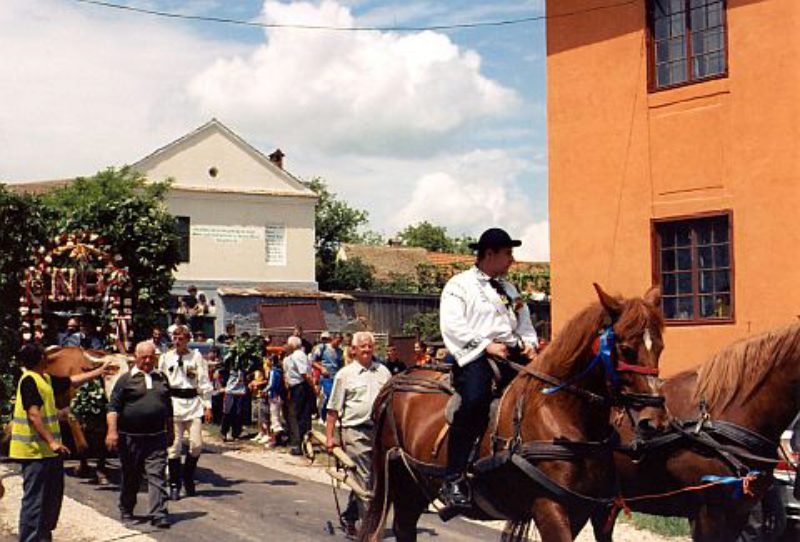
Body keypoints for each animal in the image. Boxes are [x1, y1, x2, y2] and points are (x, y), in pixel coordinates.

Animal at [360, 284, 664, 542]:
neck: (561, 413)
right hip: (401, 483)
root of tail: (398, 380)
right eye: (625, 349)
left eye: (660, 347)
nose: (654, 421)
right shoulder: (549, 508)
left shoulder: (590, 511)